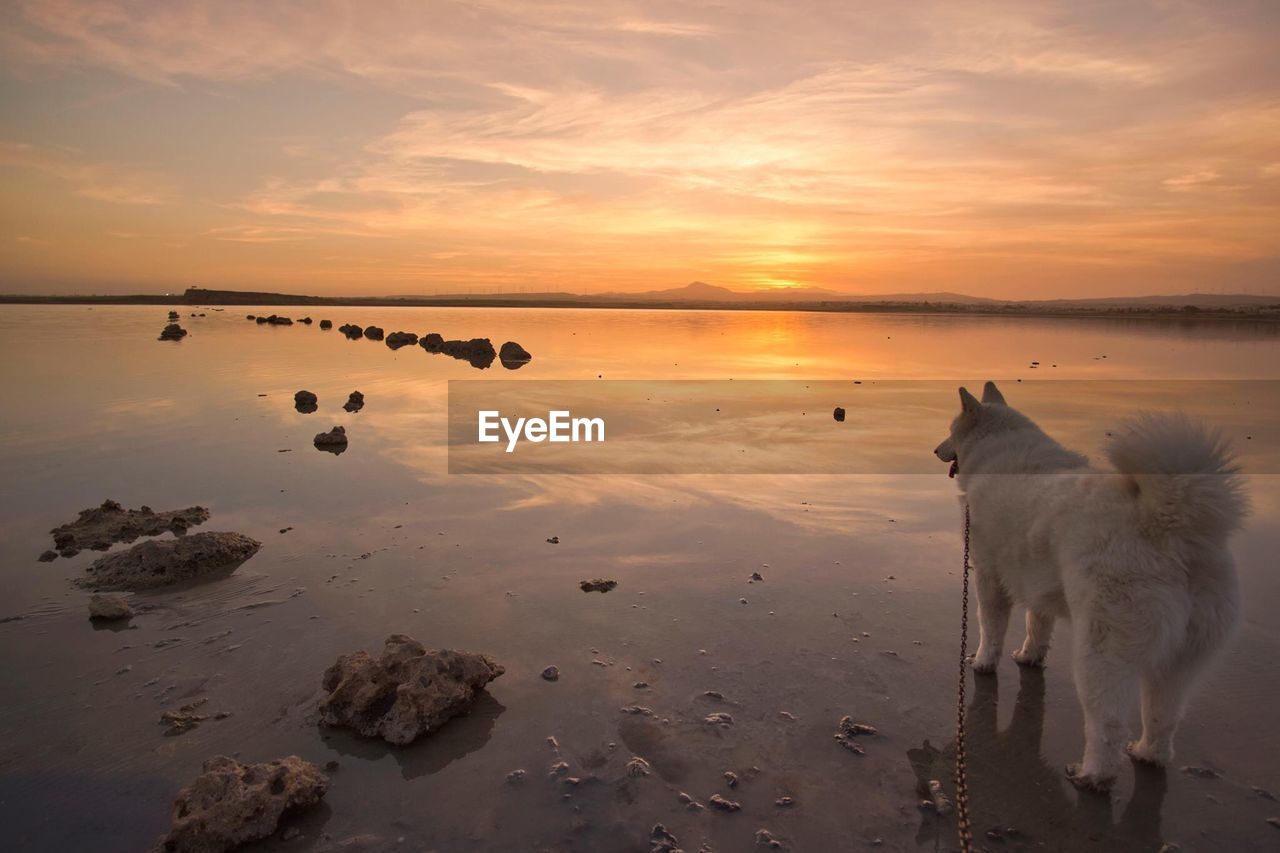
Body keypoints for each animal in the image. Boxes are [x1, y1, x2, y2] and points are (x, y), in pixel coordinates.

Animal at [936, 381, 1244, 788]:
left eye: (950, 430)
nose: (935, 450)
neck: (997, 448)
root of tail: (1168, 526)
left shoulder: (988, 575)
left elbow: (991, 628)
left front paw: (983, 662)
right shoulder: (1039, 583)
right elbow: (1037, 627)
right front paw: (1029, 657)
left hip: (1101, 654)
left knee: (1107, 725)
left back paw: (1091, 775)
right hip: (1181, 663)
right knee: (1164, 718)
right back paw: (1147, 754)